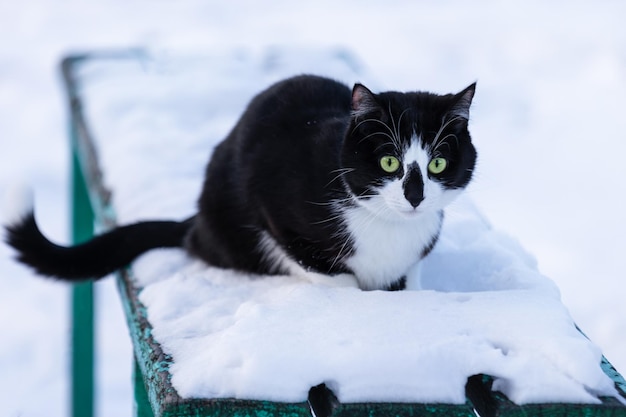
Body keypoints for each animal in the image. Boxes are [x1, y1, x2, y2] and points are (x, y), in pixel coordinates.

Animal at [4, 74, 476, 290]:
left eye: (436, 164)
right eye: (389, 161)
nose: (414, 196)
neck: (388, 227)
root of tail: (196, 221)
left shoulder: (416, 250)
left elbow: (409, 274)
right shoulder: (276, 206)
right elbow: (325, 271)